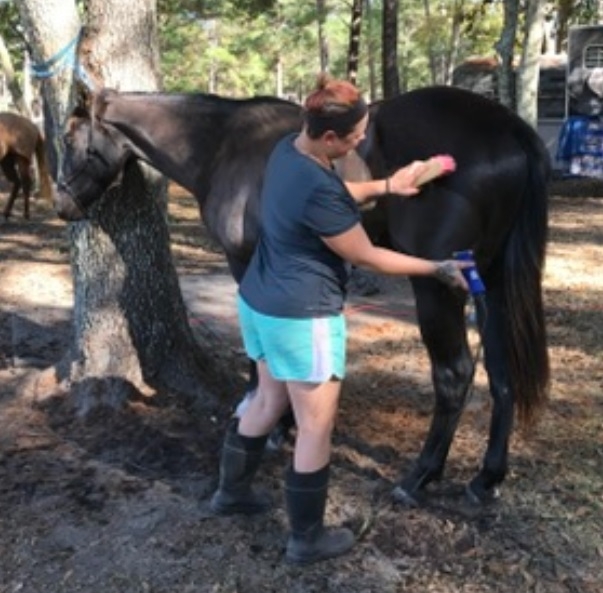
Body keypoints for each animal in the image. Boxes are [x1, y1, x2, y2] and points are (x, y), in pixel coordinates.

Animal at [55, 86, 552, 504]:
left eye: (67, 137)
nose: (62, 206)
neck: (222, 144)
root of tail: (510, 130)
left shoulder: (246, 262)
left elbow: (260, 348)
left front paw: (268, 419)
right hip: (489, 282)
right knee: (502, 373)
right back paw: (486, 479)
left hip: (437, 286)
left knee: (454, 374)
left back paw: (418, 478)